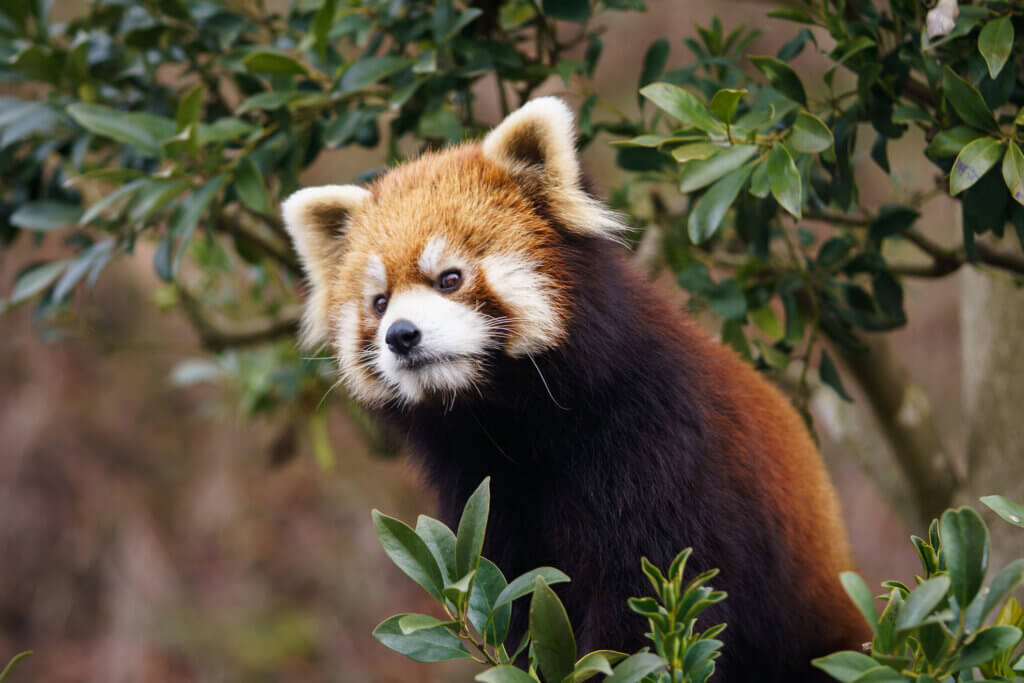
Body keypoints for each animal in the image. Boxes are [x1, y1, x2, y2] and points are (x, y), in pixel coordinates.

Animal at [282, 97, 872, 683]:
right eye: (379, 303)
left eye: (449, 278)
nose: (401, 336)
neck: (515, 419)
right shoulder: (483, 491)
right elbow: (516, 599)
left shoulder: (660, 448)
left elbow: (652, 601)